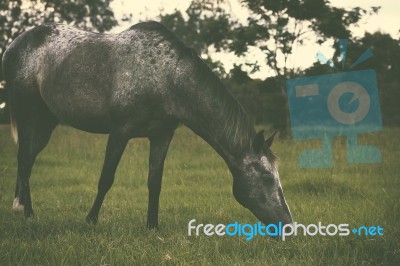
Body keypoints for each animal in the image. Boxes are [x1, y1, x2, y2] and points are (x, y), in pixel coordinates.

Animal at [1, 21, 292, 229]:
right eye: (267, 177)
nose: (288, 225)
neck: (165, 77)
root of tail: (14, 45)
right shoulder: (120, 131)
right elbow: (106, 178)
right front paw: (91, 219)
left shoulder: (161, 136)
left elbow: (155, 181)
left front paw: (152, 226)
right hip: (28, 115)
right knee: (25, 160)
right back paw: (27, 213)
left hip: (46, 122)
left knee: (28, 159)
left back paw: (23, 209)